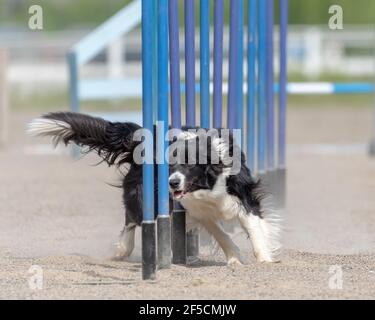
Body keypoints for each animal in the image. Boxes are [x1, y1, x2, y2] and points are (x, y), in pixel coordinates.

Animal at [28, 111, 282, 266]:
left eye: (190, 164)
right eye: (168, 165)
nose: (173, 183)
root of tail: (140, 136)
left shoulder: (242, 193)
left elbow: (252, 225)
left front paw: (262, 258)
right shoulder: (196, 208)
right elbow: (220, 233)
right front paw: (237, 256)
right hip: (140, 190)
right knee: (132, 217)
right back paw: (122, 249)